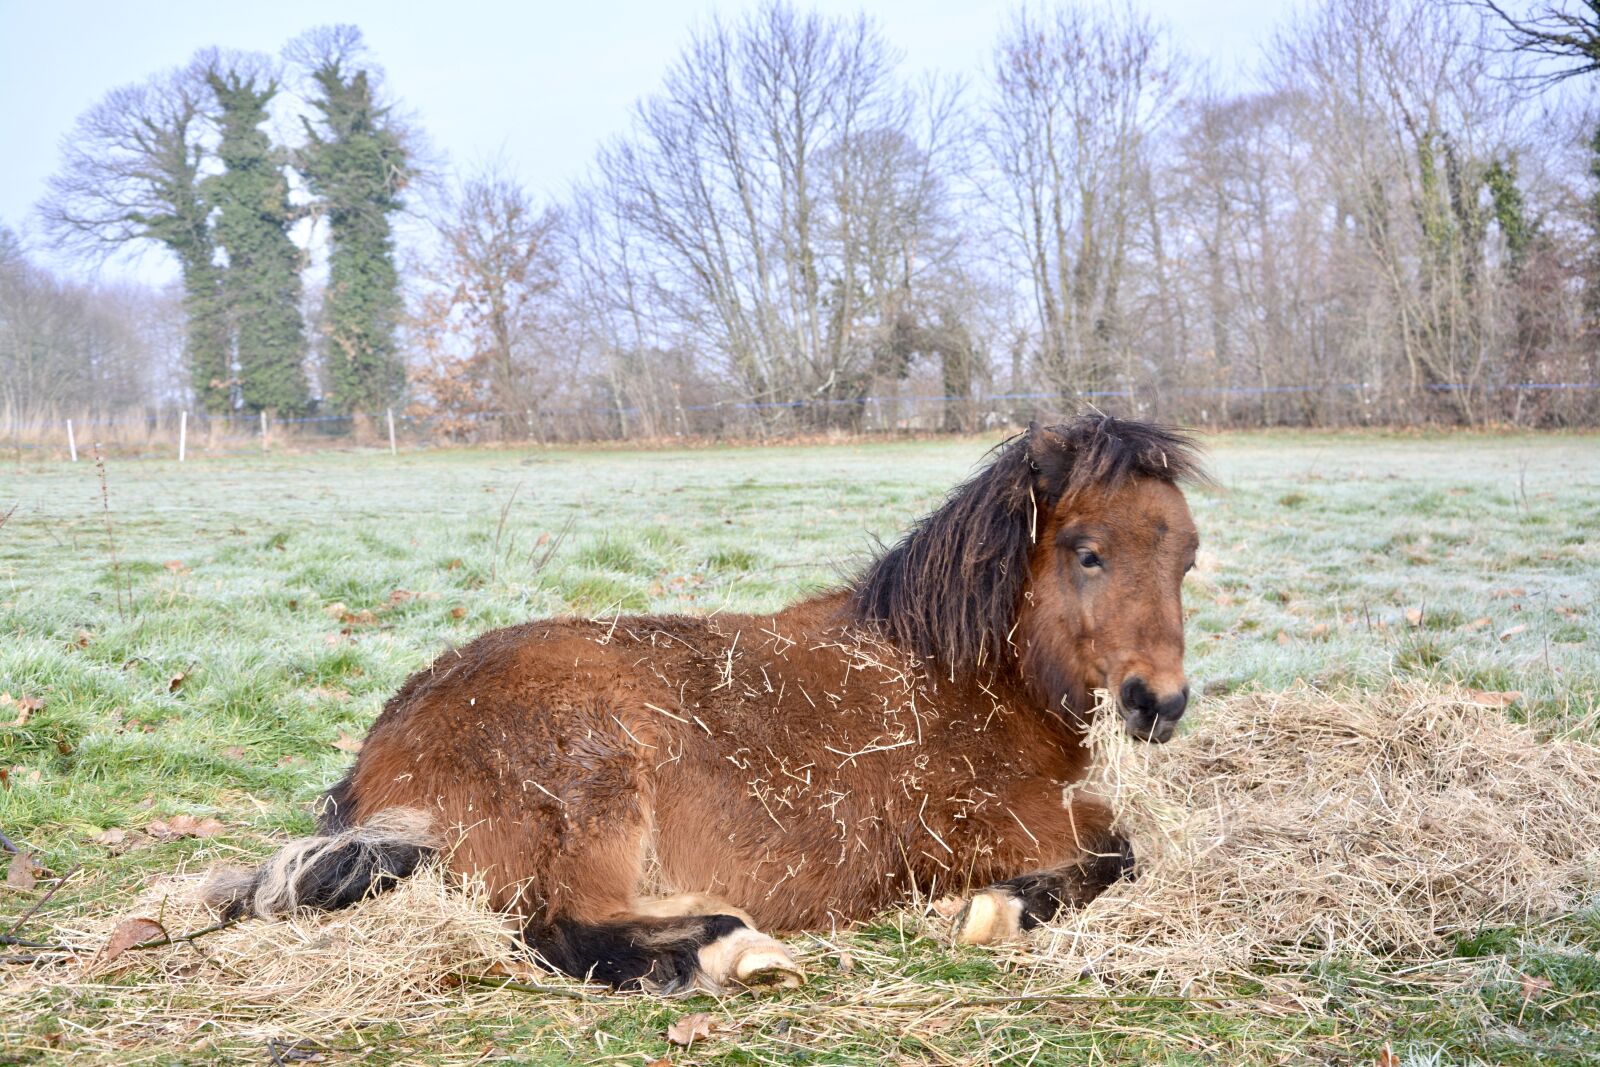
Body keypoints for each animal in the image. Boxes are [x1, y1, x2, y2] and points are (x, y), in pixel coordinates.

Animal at [207, 415, 1205, 993]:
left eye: (1187, 555)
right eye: (1087, 551)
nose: (1158, 703)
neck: (957, 674)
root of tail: (386, 759)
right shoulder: (999, 824)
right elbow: (1120, 851)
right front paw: (999, 910)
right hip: (598, 786)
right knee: (559, 928)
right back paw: (727, 946)